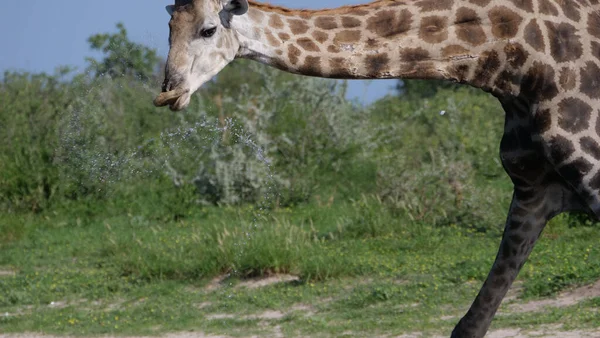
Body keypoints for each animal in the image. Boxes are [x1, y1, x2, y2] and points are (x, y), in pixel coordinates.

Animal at [155, 0, 600, 336]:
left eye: (208, 30)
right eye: (169, 27)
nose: (169, 91)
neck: (514, 64)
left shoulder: (592, 174)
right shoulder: (533, 191)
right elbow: (470, 324)